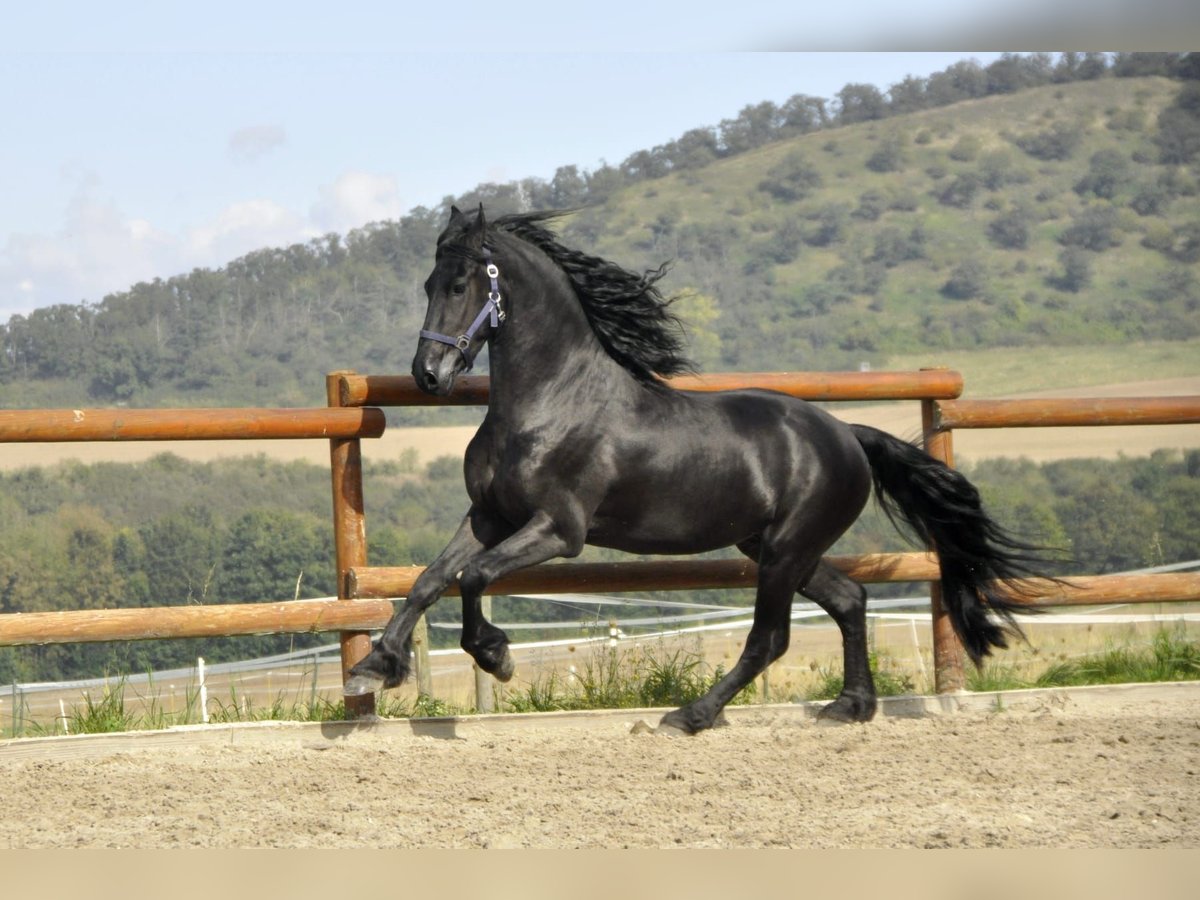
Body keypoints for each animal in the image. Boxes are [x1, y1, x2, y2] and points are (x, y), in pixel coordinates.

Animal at [345, 207, 1041, 734]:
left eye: (460, 284)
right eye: (428, 283)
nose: (427, 375)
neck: (550, 402)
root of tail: (847, 434)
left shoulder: (558, 530)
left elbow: (473, 576)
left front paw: (496, 656)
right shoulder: (489, 515)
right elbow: (430, 581)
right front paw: (375, 667)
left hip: (786, 549)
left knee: (770, 638)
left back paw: (691, 715)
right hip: (776, 545)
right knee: (850, 599)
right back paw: (850, 707)